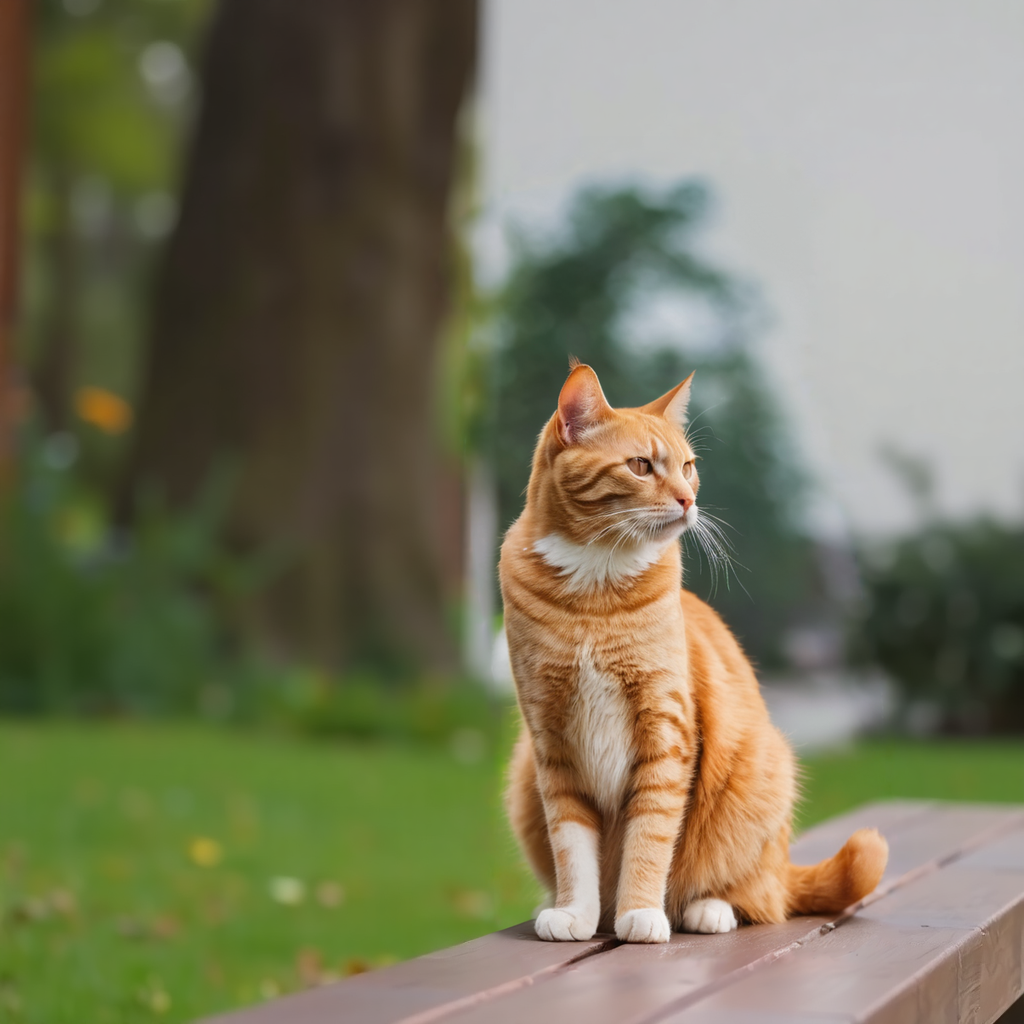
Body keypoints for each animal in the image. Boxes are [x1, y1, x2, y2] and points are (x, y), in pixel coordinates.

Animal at [499, 362, 884, 942]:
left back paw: (708, 908)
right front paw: (576, 913)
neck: (592, 595)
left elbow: (651, 835)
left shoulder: (666, 733)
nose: (688, 499)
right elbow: (572, 844)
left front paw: (639, 912)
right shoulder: (552, 742)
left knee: (763, 898)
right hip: (525, 775)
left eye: (688, 467)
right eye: (640, 466)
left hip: (759, 771)